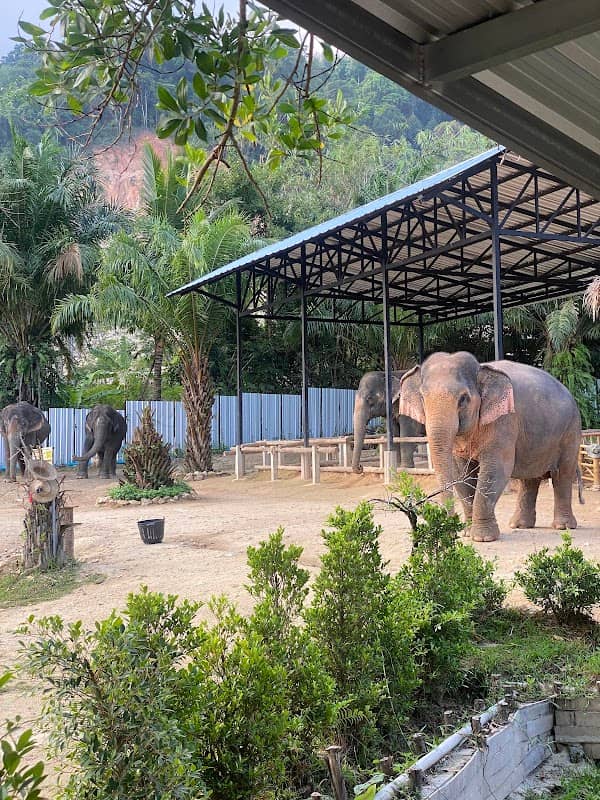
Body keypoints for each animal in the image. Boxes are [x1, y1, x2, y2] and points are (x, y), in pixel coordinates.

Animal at [396, 351, 583, 542]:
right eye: (422, 397)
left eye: (463, 399)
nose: (449, 533)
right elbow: (461, 473)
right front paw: (467, 533)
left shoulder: (504, 420)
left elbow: (496, 469)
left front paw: (483, 538)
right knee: (530, 478)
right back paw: (519, 525)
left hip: (571, 430)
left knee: (562, 474)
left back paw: (563, 526)